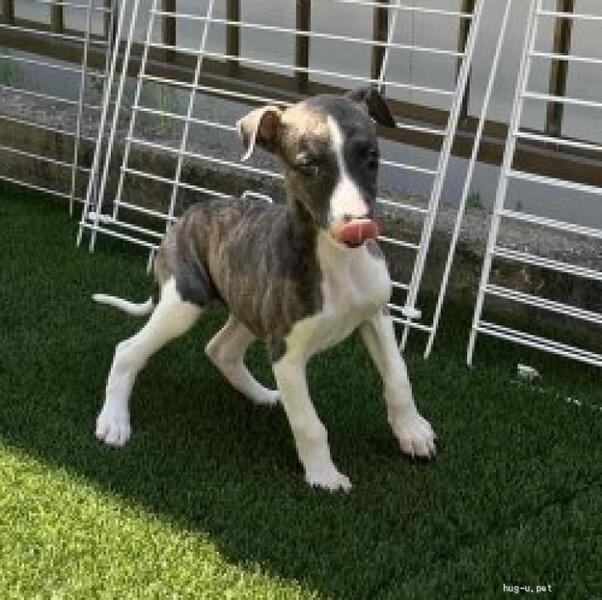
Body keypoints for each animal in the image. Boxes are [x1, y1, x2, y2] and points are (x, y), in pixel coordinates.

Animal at [93, 88, 436, 492]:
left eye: (372, 158)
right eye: (308, 167)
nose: (358, 226)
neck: (338, 261)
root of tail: (185, 217)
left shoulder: (375, 316)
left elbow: (398, 377)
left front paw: (412, 432)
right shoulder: (286, 353)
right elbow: (308, 423)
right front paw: (324, 475)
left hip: (249, 307)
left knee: (220, 349)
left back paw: (263, 395)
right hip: (184, 302)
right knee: (128, 350)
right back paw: (114, 421)